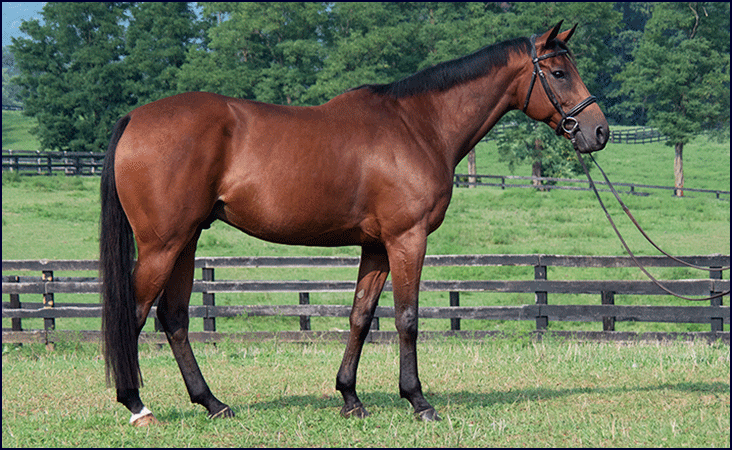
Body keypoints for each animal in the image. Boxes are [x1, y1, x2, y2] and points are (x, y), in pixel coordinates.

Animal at [100, 22, 608, 426]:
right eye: (559, 73)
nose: (599, 131)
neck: (418, 127)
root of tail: (134, 118)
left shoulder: (377, 246)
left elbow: (361, 316)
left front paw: (350, 397)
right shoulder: (407, 239)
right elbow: (407, 318)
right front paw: (418, 401)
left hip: (186, 241)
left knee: (174, 317)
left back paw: (212, 403)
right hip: (163, 245)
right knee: (135, 312)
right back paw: (136, 405)